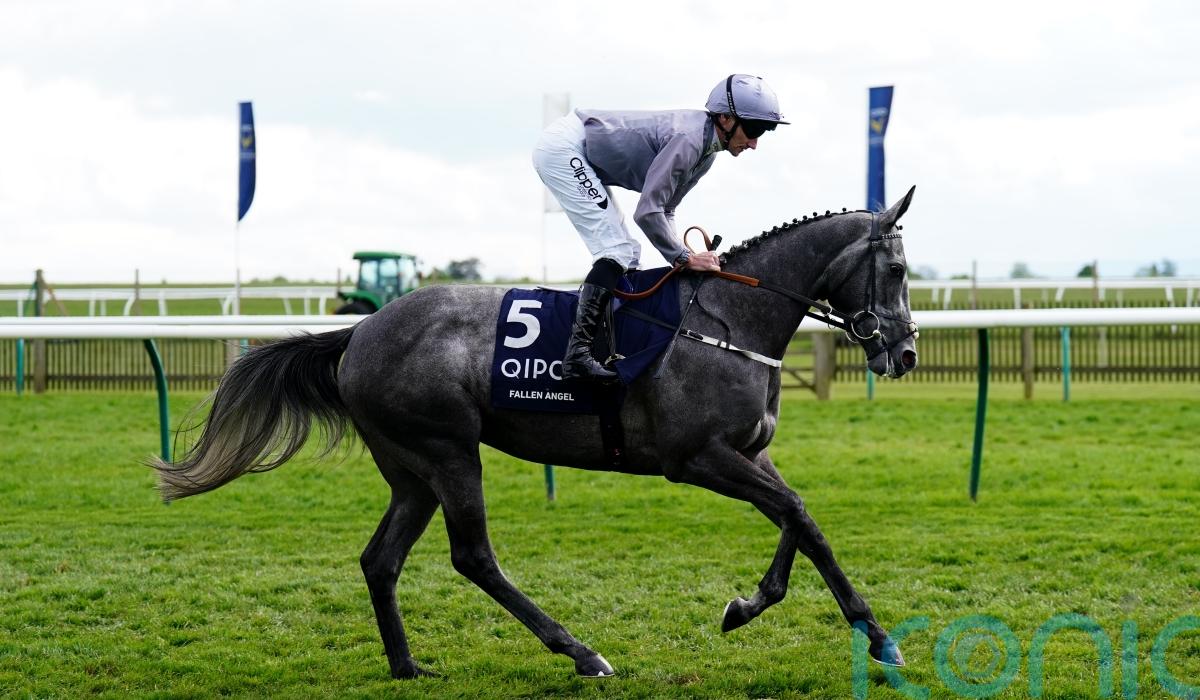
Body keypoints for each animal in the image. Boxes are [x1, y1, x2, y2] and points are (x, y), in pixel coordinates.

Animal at [153, 186, 920, 680]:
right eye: (897, 268)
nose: (906, 352)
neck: (728, 320)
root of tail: (359, 330)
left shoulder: (750, 452)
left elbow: (802, 520)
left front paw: (789, 616)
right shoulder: (696, 456)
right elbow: (794, 512)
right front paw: (838, 628)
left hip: (410, 471)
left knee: (380, 560)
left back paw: (407, 666)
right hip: (448, 452)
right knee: (472, 556)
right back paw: (582, 653)